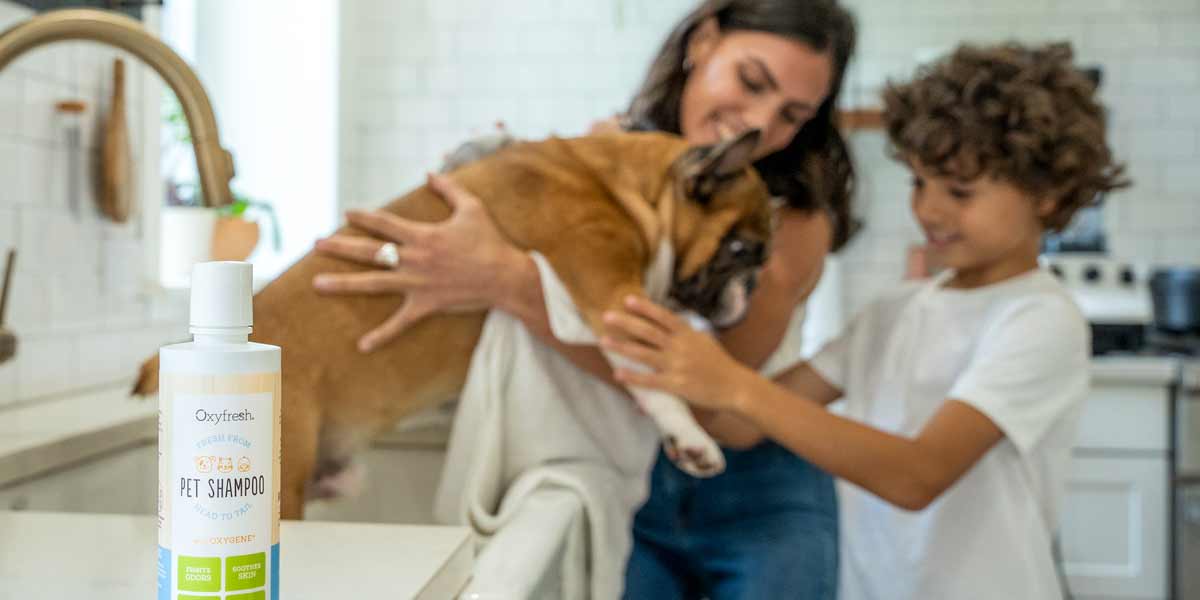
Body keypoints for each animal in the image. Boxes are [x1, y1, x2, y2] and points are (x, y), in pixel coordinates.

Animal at [131, 129, 768, 518]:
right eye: (742, 249)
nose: (756, 287)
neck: (626, 188)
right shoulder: (613, 300)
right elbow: (657, 381)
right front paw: (692, 437)